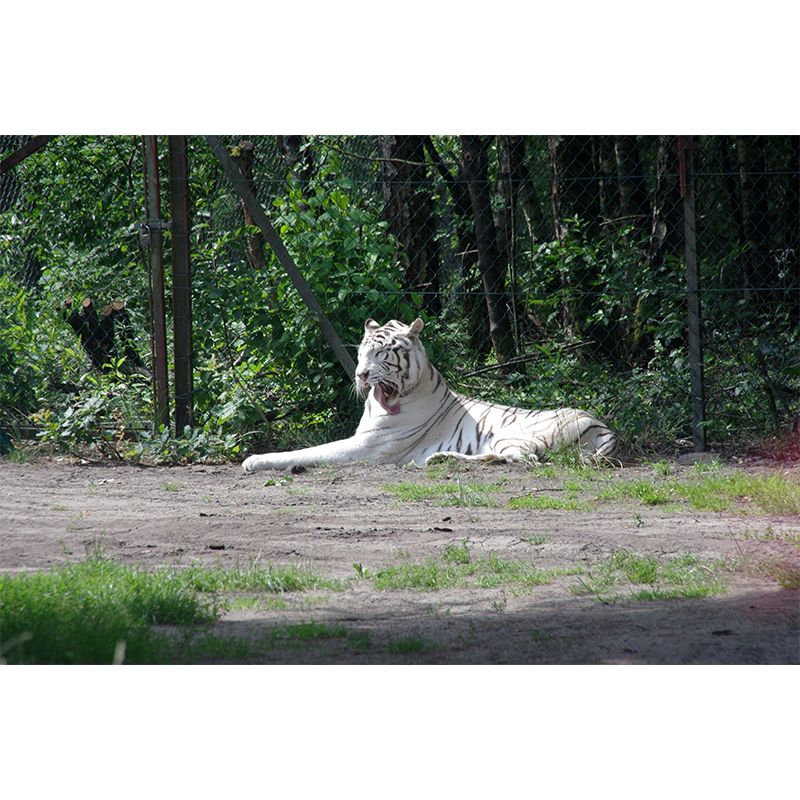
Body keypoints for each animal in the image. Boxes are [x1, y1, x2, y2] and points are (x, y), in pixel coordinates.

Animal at [242, 317, 618, 473]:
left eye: (382, 354)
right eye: (362, 352)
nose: (360, 374)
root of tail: (605, 429)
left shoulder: (367, 446)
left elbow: (308, 452)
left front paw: (254, 460)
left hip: (512, 436)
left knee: (521, 460)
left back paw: (439, 459)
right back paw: (438, 459)